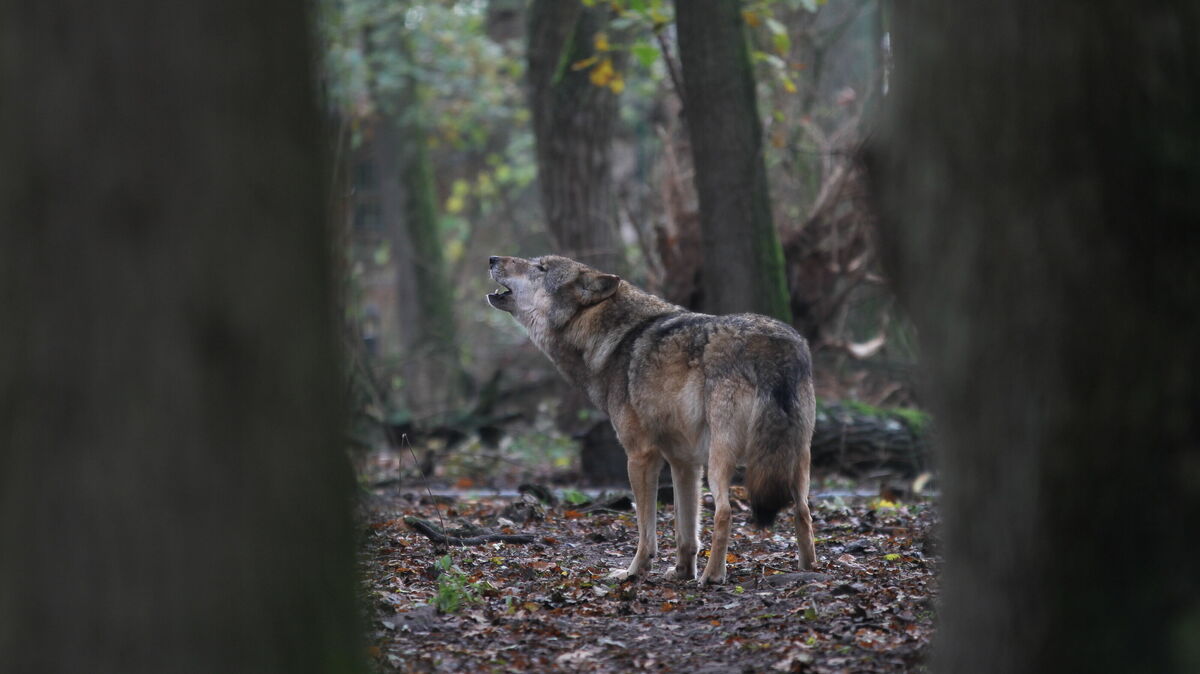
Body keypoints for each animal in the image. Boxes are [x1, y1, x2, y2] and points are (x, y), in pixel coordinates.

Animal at [487, 255, 817, 584]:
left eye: (540, 268)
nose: (492, 259)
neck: (614, 338)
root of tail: (773, 345)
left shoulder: (641, 456)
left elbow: (646, 531)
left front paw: (633, 571)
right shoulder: (684, 463)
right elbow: (685, 531)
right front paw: (681, 572)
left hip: (722, 460)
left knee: (725, 512)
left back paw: (711, 576)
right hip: (795, 460)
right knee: (803, 511)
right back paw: (807, 568)